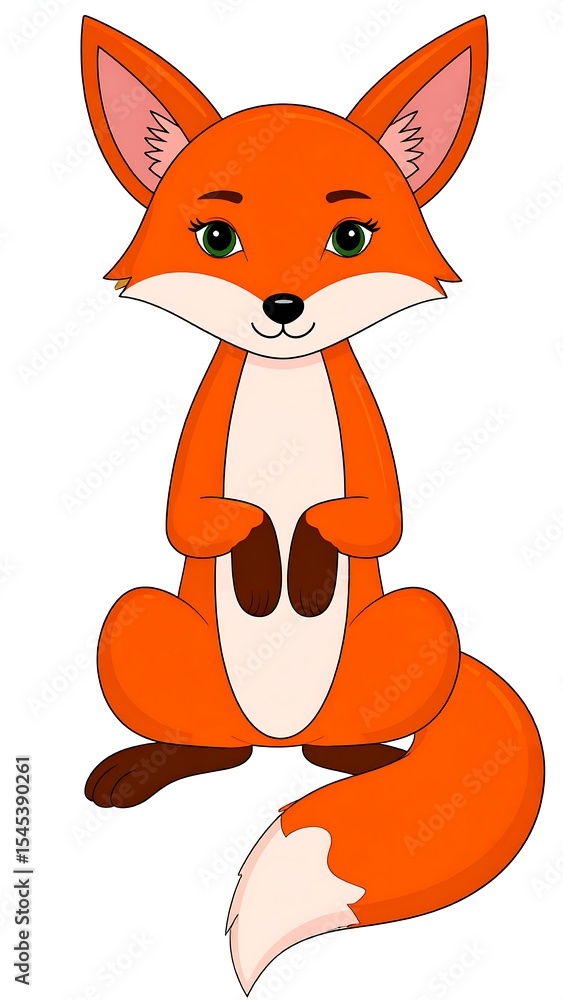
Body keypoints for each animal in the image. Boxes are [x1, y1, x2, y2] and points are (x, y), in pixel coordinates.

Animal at [81, 14, 544, 994]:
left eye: (351, 236)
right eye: (217, 237)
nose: (284, 307)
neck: (284, 383)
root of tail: (277, 737)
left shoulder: (369, 456)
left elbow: (358, 520)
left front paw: (301, 571)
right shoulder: (197, 460)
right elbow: (211, 518)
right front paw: (269, 576)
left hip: (416, 625)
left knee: (340, 744)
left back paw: (365, 761)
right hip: (141, 627)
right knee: (210, 747)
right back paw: (150, 767)